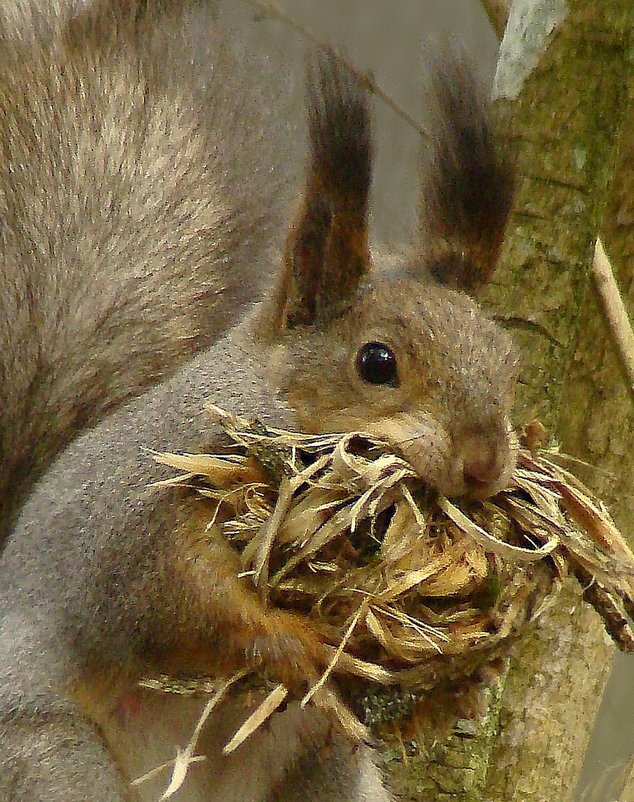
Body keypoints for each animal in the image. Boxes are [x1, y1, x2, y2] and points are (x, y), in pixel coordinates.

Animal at [0, 1, 512, 800]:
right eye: (377, 362)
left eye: (507, 359)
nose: (487, 462)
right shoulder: (136, 509)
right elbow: (171, 602)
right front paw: (295, 644)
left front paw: (463, 676)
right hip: (49, 759)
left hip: (324, 770)